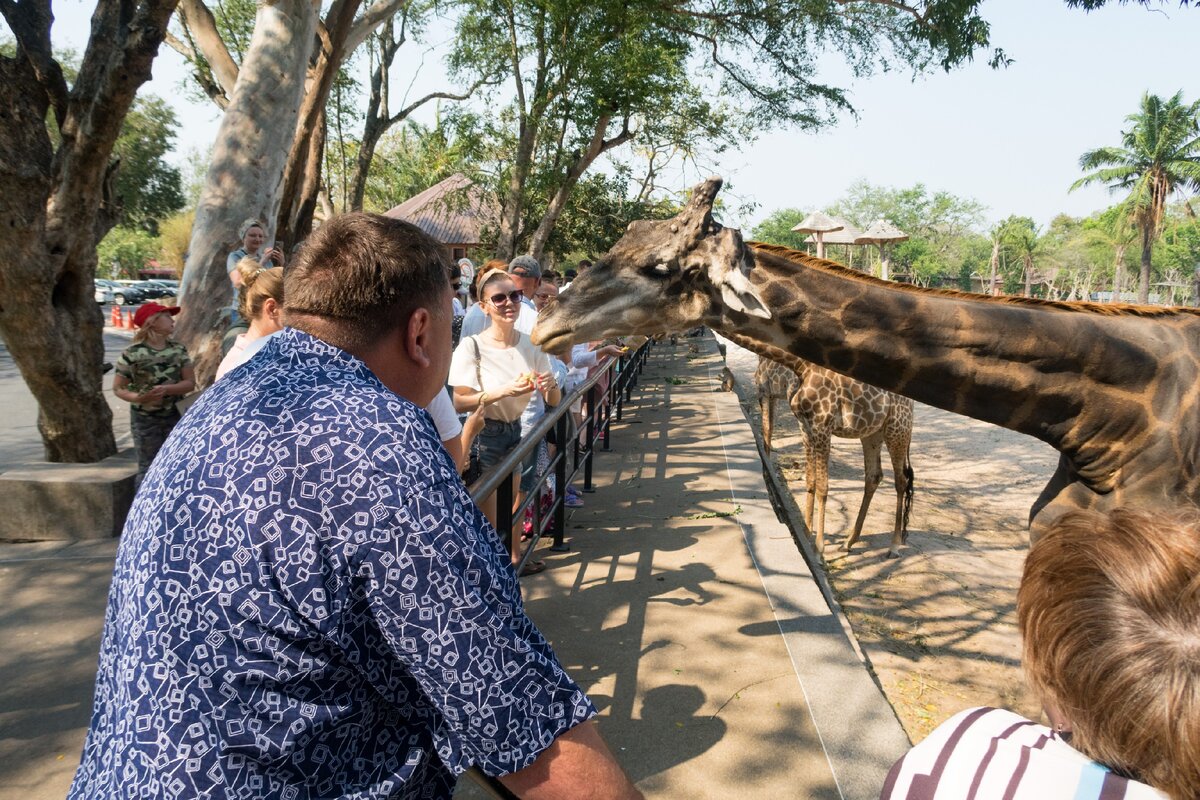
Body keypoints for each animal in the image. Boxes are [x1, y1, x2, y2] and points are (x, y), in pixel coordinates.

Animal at [753, 357, 912, 556]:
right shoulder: (801, 422)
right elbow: (810, 479)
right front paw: (807, 533)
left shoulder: (770, 396)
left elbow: (821, 485)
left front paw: (817, 545)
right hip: (872, 432)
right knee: (874, 476)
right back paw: (848, 542)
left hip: (897, 429)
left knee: (901, 480)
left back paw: (894, 546)